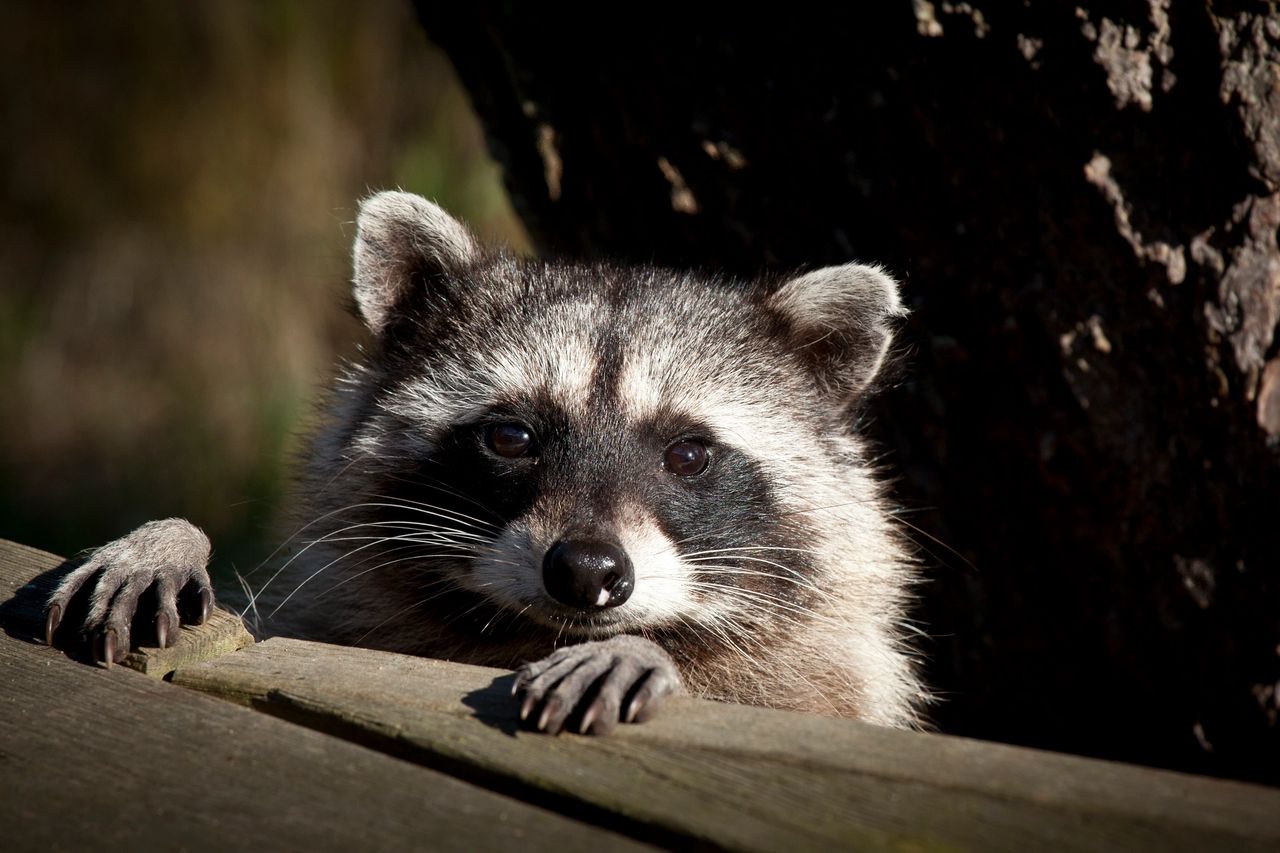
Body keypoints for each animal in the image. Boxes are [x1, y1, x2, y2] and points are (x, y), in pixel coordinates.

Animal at [46, 191, 927, 734]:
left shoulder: (828, 681)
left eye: (688, 453)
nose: (587, 570)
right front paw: (171, 537)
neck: (524, 633)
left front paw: (648, 649)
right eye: (511, 437)